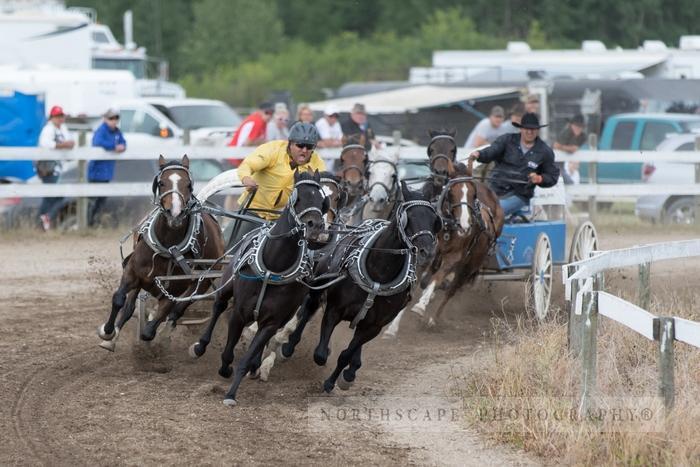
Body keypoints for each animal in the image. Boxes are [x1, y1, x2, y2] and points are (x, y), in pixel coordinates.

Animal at [97, 155, 224, 352]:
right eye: (162, 183)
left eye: (188, 184)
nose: (175, 213)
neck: (169, 247)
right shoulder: (132, 272)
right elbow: (119, 299)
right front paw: (107, 332)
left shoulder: (173, 292)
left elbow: (151, 329)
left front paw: (157, 337)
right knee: (130, 306)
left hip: (204, 281)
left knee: (179, 308)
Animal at [190, 171, 330, 406]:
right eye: (297, 197)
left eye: (322, 201)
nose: (316, 227)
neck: (271, 267)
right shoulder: (239, 312)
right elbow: (228, 351)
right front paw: (225, 369)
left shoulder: (272, 322)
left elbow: (248, 357)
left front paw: (232, 393)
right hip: (227, 285)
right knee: (218, 306)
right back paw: (199, 346)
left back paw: (256, 366)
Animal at [282, 182, 440, 392]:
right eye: (410, 216)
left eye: (434, 220)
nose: (427, 252)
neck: (379, 273)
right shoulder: (334, 310)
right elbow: (320, 354)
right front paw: (326, 363)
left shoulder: (374, 326)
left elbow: (346, 354)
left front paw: (335, 380)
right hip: (318, 287)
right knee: (308, 310)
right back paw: (289, 346)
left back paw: (352, 369)